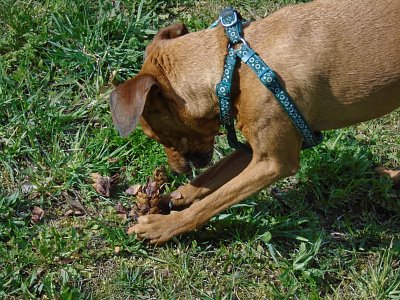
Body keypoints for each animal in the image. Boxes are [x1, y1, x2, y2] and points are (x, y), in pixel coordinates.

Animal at [110, 0, 400, 244]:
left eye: (155, 136)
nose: (175, 170)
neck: (232, 67)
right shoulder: (253, 147)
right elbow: (208, 179)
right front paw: (168, 198)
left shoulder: (272, 162)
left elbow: (211, 202)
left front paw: (163, 226)